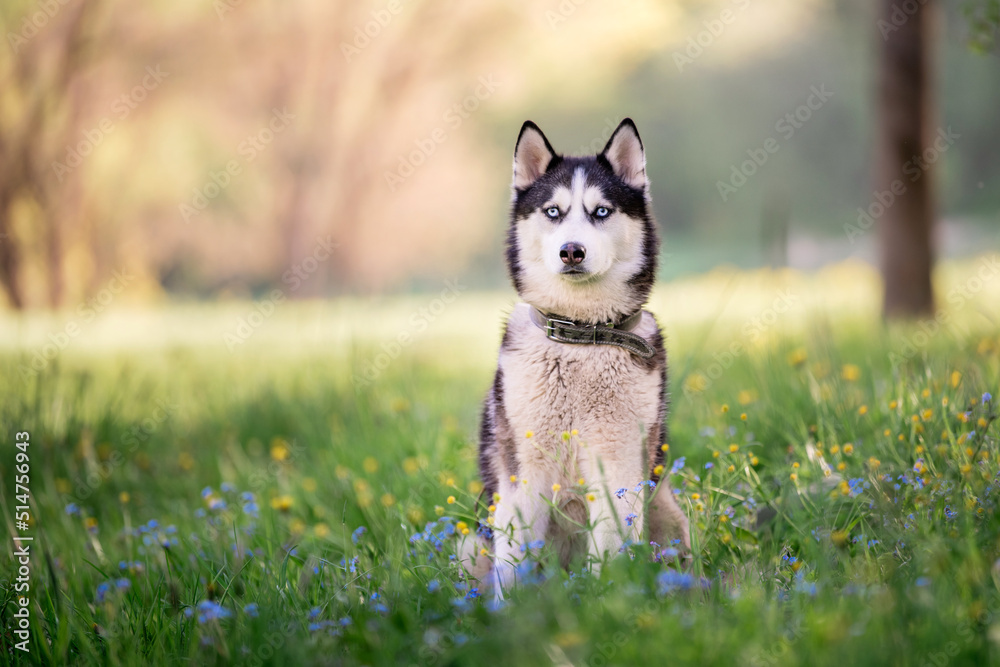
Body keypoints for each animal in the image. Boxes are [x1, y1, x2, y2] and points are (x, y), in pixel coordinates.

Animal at [472, 120, 692, 596]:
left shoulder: (619, 462)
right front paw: (510, 610)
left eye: (602, 212)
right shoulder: (524, 471)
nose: (571, 250)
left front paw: (607, 598)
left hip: (668, 510)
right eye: (553, 212)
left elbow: (611, 543)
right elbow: (515, 560)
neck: (580, 337)